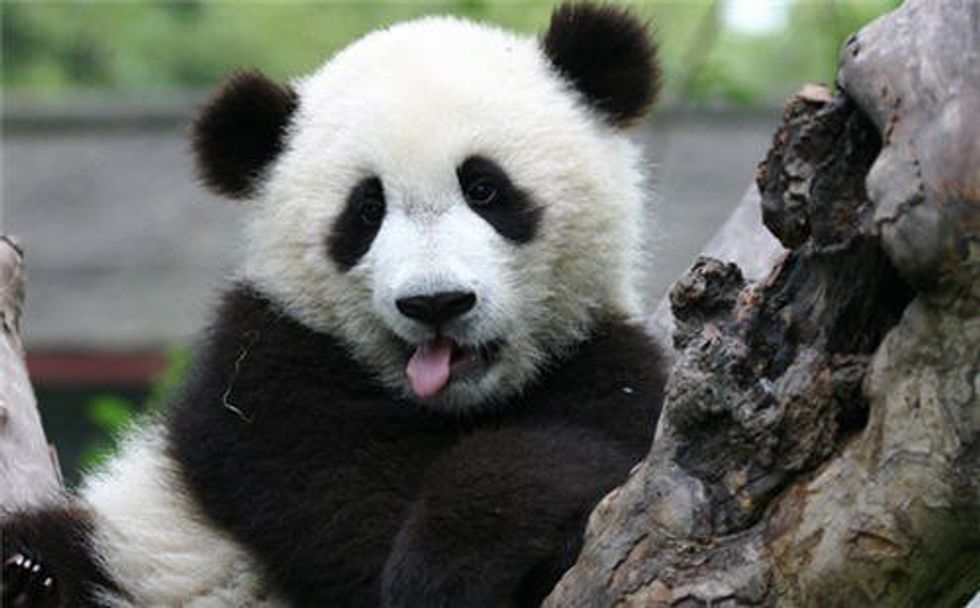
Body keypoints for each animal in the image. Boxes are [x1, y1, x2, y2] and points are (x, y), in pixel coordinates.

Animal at [2, 3, 666, 606]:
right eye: (366, 210)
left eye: (484, 188)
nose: (435, 302)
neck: (455, 406)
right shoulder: (264, 378)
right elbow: (351, 534)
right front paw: (435, 573)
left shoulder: (604, 361)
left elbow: (590, 449)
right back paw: (25, 576)